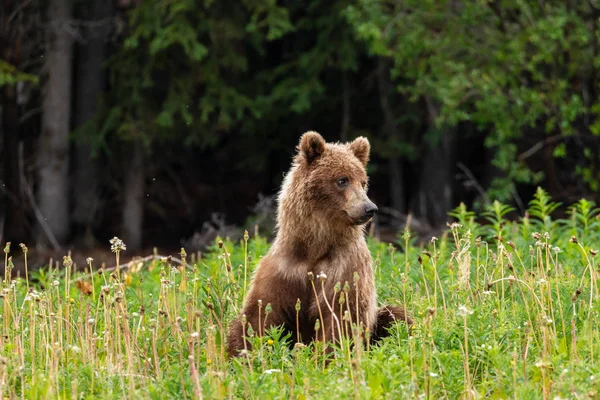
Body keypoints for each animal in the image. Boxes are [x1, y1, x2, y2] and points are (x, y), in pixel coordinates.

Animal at [227, 131, 410, 356]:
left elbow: (342, 317)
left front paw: (328, 355)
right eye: (342, 179)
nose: (369, 208)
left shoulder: (344, 269)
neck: (315, 246)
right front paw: (243, 352)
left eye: (363, 181)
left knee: (396, 317)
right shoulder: (285, 269)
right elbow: (258, 314)